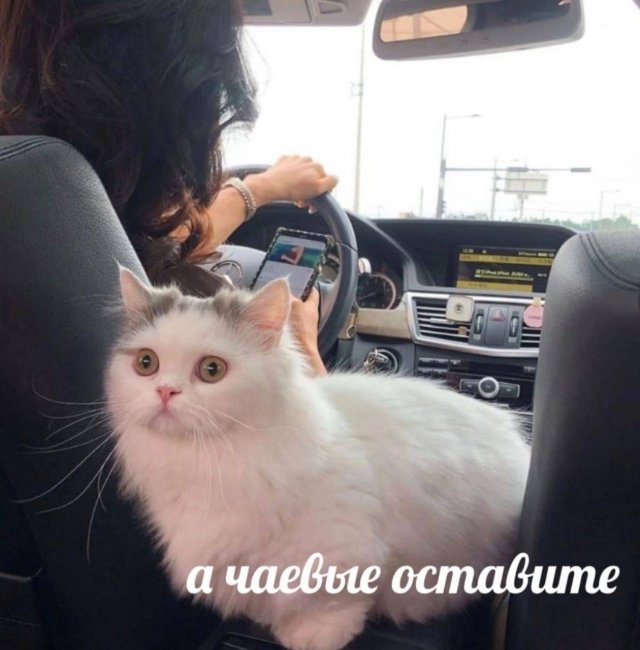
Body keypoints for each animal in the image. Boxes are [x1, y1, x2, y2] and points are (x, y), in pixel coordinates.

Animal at [106, 267, 530, 650]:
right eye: (146, 363)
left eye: (212, 370)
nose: (165, 391)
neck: (208, 463)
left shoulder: (341, 556)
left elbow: (328, 604)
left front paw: (312, 637)